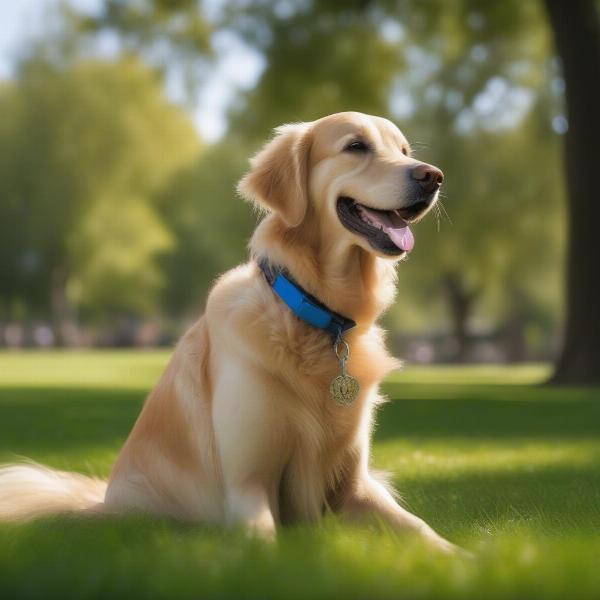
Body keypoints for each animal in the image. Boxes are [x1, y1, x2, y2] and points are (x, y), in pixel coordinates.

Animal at [0, 111, 454, 552]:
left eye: (404, 151)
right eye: (356, 146)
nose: (433, 176)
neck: (314, 315)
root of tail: (102, 501)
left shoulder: (355, 487)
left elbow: (422, 530)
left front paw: (462, 559)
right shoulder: (247, 485)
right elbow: (264, 545)